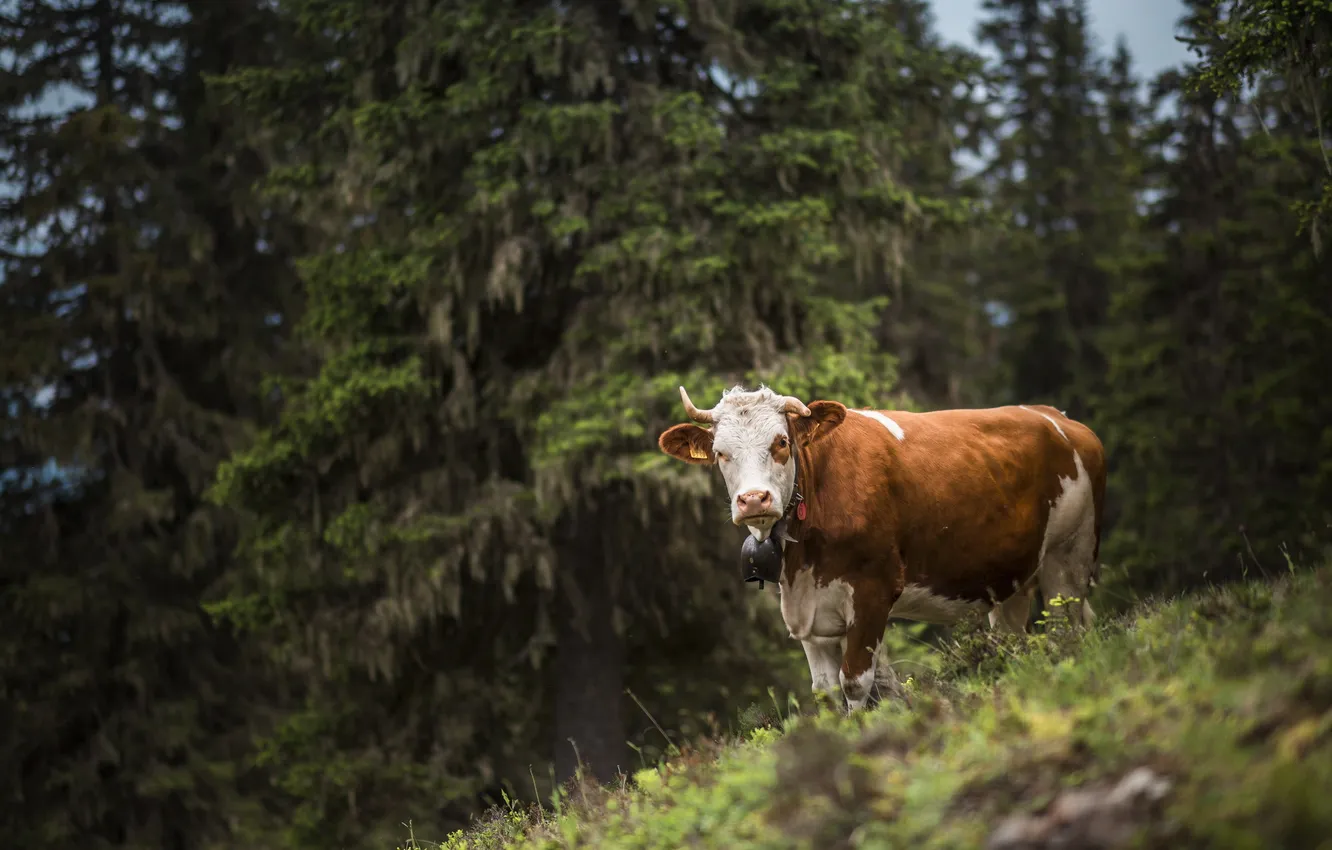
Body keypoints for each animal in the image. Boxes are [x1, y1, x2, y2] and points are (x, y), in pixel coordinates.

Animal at [656, 385, 1106, 712]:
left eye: (781, 441)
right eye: (720, 454)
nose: (753, 500)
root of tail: (1058, 418)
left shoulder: (874, 591)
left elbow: (856, 683)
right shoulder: (808, 612)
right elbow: (826, 691)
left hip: (1071, 554)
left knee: (1069, 627)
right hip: (1011, 578)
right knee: (1014, 639)